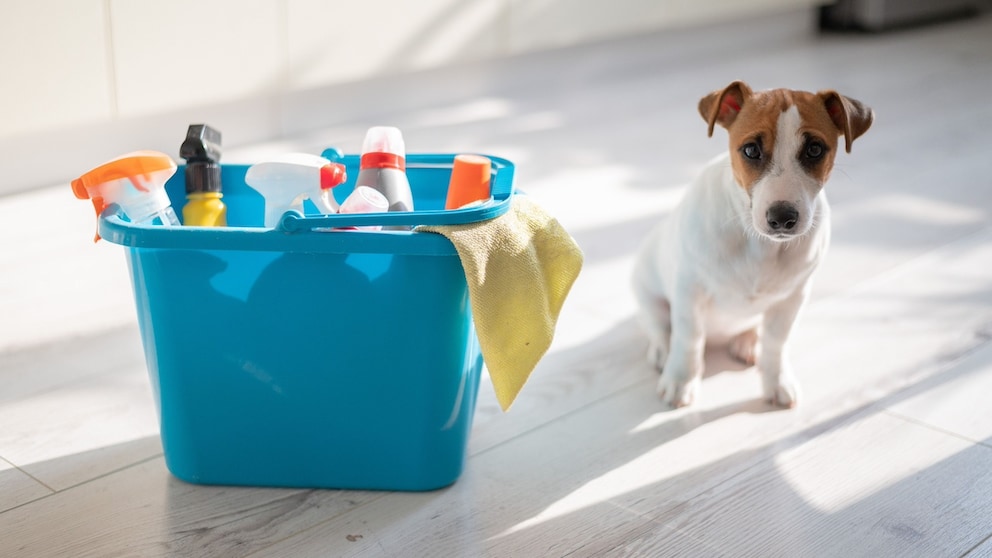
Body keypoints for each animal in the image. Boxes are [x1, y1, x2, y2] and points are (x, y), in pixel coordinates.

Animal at [632, 81, 872, 410]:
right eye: (750, 150)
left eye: (814, 149)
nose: (782, 218)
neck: (759, 244)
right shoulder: (689, 291)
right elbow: (688, 338)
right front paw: (680, 380)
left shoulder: (792, 299)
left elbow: (776, 343)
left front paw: (777, 381)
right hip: (646, 288)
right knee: (659, 325)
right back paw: (661, 351)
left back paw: (747, 342)